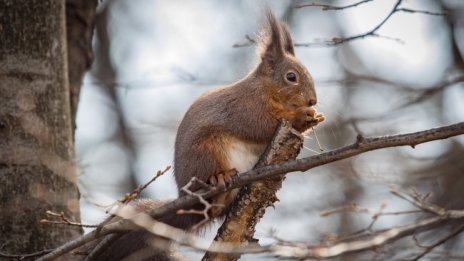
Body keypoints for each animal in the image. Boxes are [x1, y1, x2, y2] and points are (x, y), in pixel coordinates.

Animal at [90, 10, 322, 260]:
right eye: (291, 77)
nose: (312, 101)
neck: (266, 89)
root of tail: (185, 198)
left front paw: (313, 118)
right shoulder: (245, 107)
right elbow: (260, 125)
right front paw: (301, 116)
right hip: (207, 152)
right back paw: (220, 179)